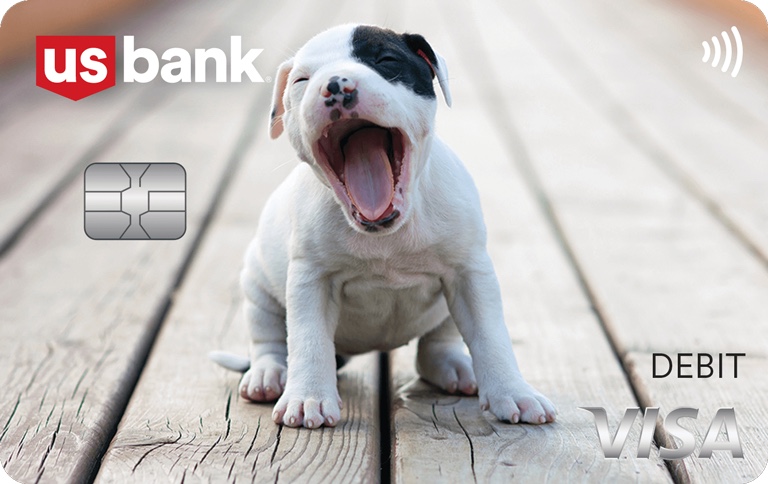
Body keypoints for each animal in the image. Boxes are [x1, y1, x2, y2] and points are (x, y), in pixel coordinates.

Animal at [213, 24, 556, 430]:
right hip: (256, 285)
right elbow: (308, 340)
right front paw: (308, 398)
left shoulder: (470, 273)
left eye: (387, 61)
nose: (335, 85)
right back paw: (269, 375)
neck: (387, 233)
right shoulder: (311, 281)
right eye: (301, 80)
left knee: (436, 346)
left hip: (447, 309)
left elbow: (491, 335)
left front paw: (514, 393)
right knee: (268, 339)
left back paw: (457, 368)